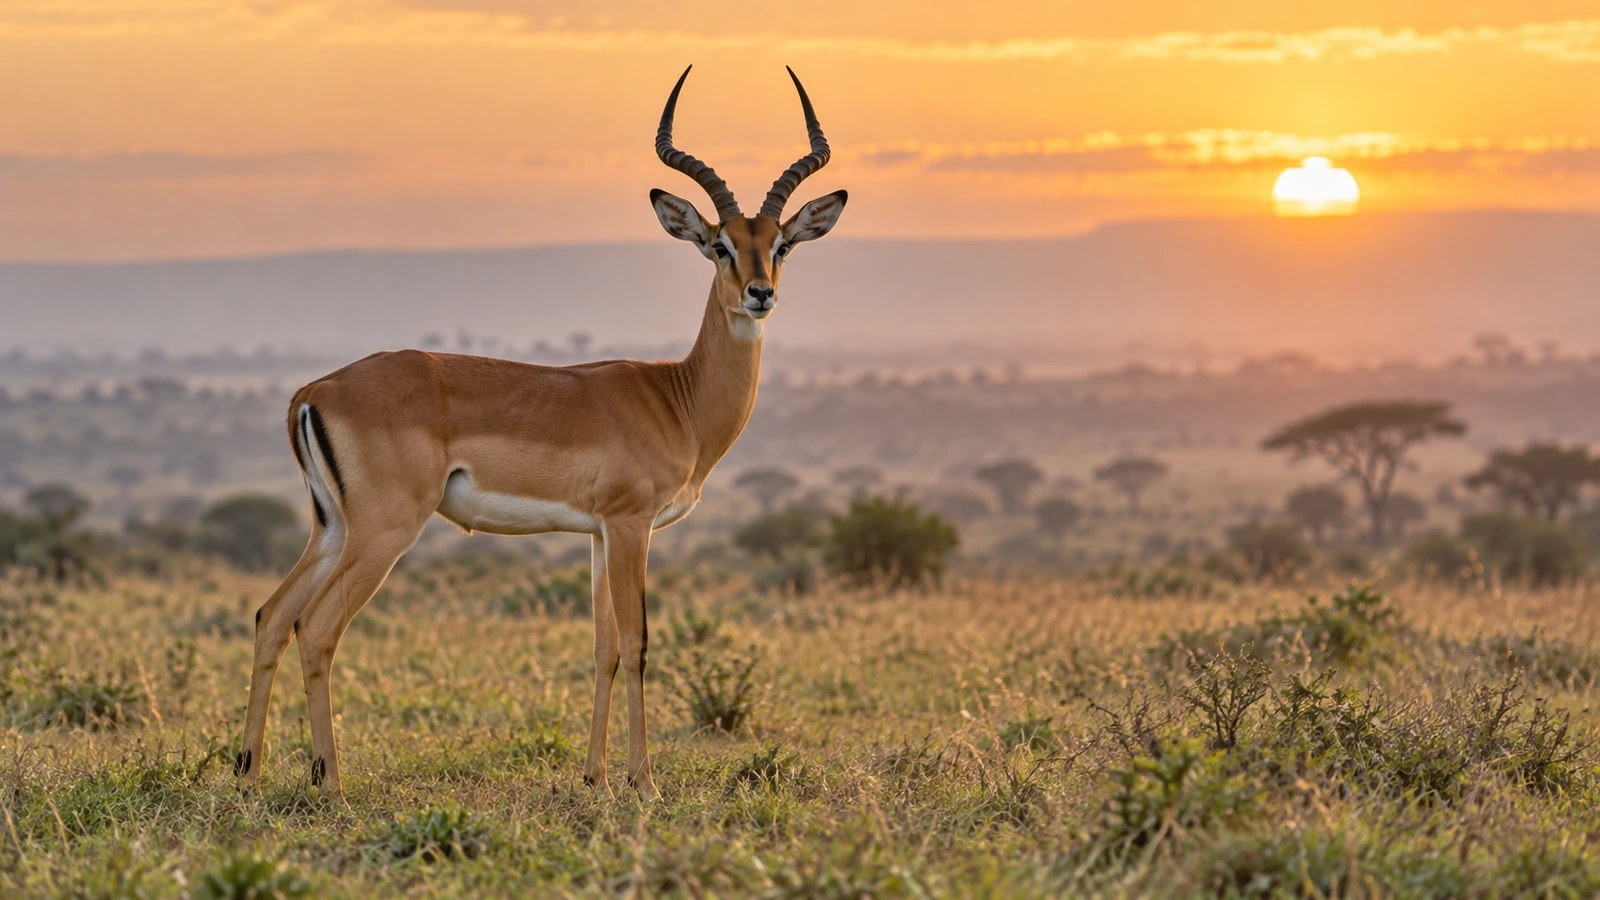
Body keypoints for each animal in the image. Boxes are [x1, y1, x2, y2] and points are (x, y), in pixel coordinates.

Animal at [234, 66, 846, 800]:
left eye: (780, 245)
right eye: (719, 245)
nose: (760, 293)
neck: (677, 398)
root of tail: (315, 391)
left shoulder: (599, 534)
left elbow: (603, 647)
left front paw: (595, 777)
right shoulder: (631, 524)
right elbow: (638, 644)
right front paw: (643, 783)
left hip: (331, 528)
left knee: (272, 616)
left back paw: (248, 773)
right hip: (384, 530)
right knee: (317, 627)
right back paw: (330, 782)